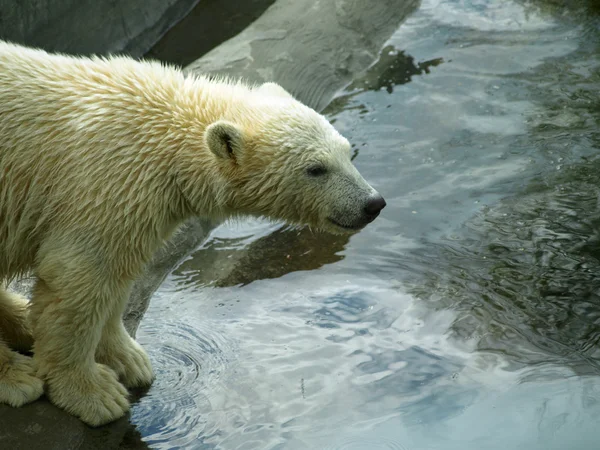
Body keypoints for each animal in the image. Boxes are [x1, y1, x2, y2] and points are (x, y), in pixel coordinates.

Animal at [0, 41, 386, 426]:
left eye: (347, 152)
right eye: (316, 169)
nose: (373, 203)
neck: (164, 132)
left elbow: (116, 275)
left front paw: (129, 359)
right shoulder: (102, 183)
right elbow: (80, 277)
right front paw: (95, 393)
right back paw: (17, 375)